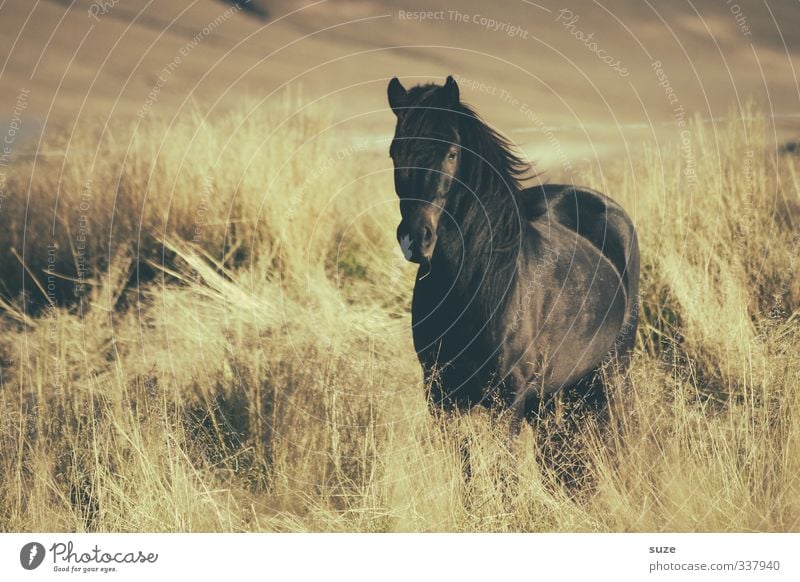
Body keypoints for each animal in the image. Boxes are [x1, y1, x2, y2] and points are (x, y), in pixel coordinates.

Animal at [386, 76, 636, 424]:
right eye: (395, 152)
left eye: (452, 154)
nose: (415, 238)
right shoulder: (440, 395)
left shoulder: (509, 399)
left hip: (613, 370)